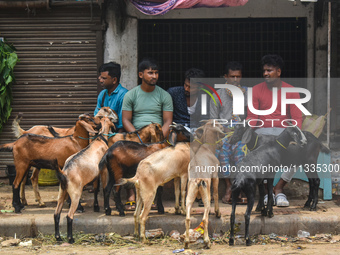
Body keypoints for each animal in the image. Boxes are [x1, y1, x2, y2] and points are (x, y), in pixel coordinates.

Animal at [54, 116, 115, 244]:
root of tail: (64, 172)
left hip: (62, 192)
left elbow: (96, 189)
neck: (100, 140)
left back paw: (58, 237)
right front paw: (106, 209)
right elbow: (103, 188)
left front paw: (96, 206)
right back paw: (71, 239)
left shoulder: (95, 174)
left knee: (56, 214)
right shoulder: (103, 171)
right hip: (75, 193)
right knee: (69, 216)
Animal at [183, 121, 226, 249]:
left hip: (189, 196)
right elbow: (216, 193)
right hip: (206, 196)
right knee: (205, 218)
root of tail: (198, 180)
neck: (207, 148)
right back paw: (207, 241)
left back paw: (186, 242)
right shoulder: (215, 175)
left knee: (187, 218)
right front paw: (218, 213)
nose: (221, 144)